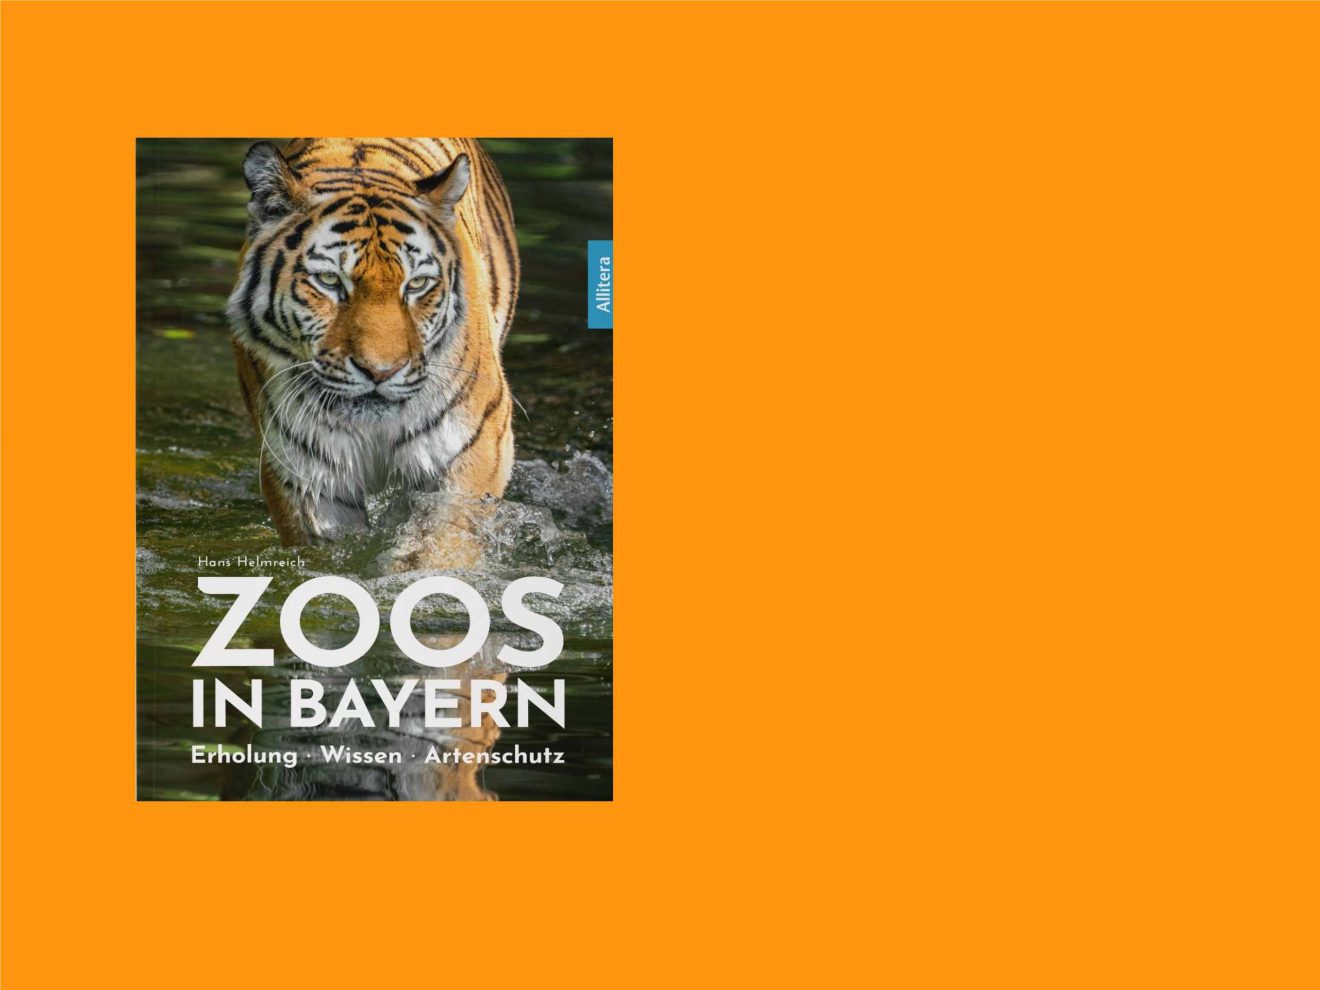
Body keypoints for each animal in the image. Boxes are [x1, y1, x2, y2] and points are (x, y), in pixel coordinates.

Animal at [225, 138, 518, 562]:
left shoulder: (472, 452)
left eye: (417, 284)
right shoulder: (307, 473)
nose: (381, 371)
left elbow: (438, 546)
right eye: (329, 280)